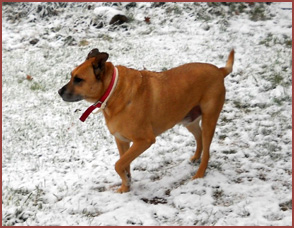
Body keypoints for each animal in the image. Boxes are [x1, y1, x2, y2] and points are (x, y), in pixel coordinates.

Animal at [59, 49, 234, 193]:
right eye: (71, 75)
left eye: (78, 79)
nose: (59, 92)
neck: (113, 91)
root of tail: (219, 71)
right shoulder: (122, 140)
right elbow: (124, 164)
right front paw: (126, 185)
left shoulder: (144, 140)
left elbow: (118, 164)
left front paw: (126, 181)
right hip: (189, 120)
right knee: (199, 138)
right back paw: (196, 157)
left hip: (209, 119)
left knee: (207, 150)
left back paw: (199, 173)